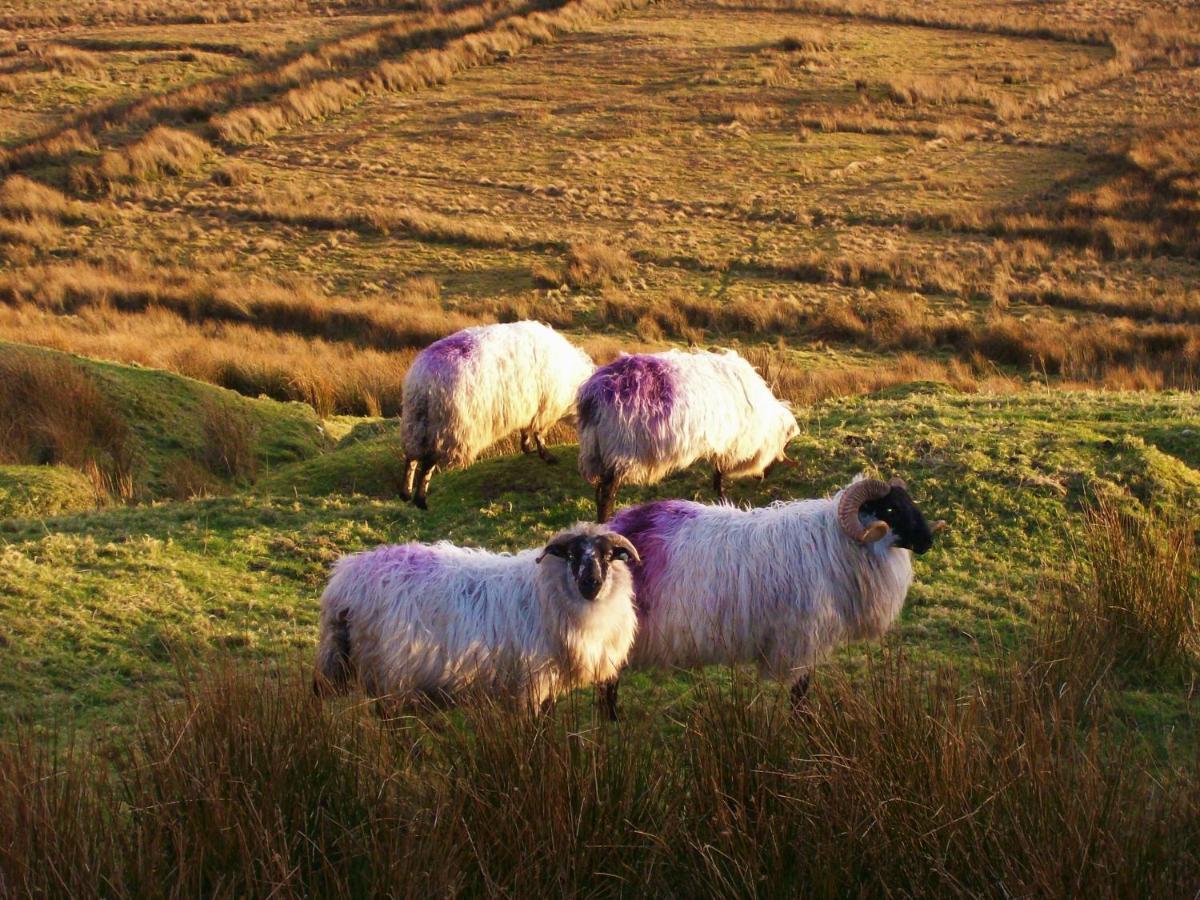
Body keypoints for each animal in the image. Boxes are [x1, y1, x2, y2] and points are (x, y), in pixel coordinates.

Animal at [314, 525, 643, 715]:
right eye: (572, 556)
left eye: (608, 555)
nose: (591, 583)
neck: (545, 590)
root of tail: (344, 581)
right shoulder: (530, 681)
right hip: (386, 669)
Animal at [400, 321, 592, 508]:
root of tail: (423, 380)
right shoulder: (544, 410)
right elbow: (539, 435)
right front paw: (547, 456)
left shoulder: (528, 409)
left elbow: (525, 431)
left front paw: (526, 448)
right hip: (449, 427)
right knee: (428, 463)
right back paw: (420, 500)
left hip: (416, 422)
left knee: (411, 458)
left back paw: (406, 494)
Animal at [578, 350, 801, 525]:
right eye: (784, 445)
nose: (763, 477)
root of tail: (594, 394)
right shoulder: (730, 443)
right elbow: (720, 474)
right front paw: (723, 499)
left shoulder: (721, 443)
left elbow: (716, 472)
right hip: (620, 451)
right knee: (606, 495)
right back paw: (606, 523)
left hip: (599, 453)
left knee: (599, 493)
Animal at [604, 480, 950, 720]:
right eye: (890, 510)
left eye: (909, 502)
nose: (928, 541)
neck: (835, 543)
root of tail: (613, 529)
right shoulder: (802, 636)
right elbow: (801, 690)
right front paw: (804, 725)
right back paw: (613, 721)